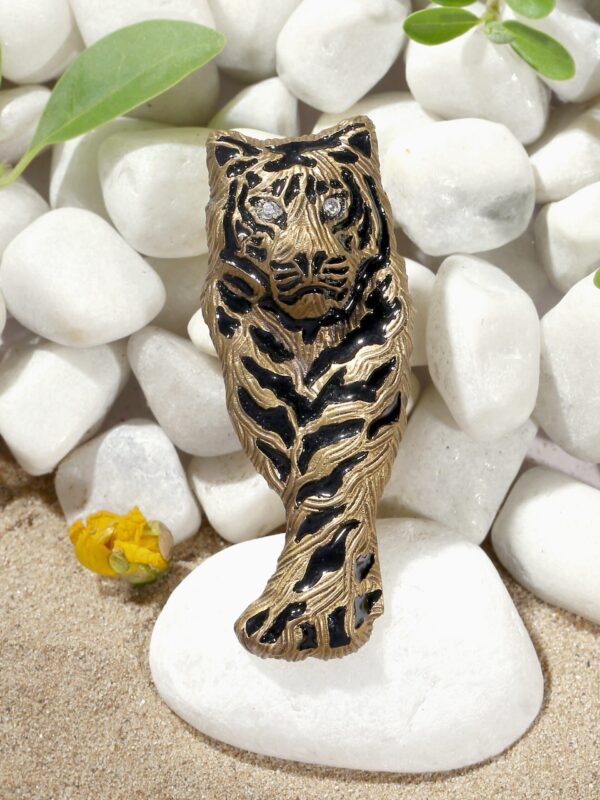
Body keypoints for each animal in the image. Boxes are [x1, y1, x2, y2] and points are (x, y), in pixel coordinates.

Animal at [201, 116, 413, 661]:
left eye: (333, 205)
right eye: (268, 208)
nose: (310, 257)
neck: (308, 333)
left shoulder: (355, 413)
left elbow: (328, 512)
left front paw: (307, 622)